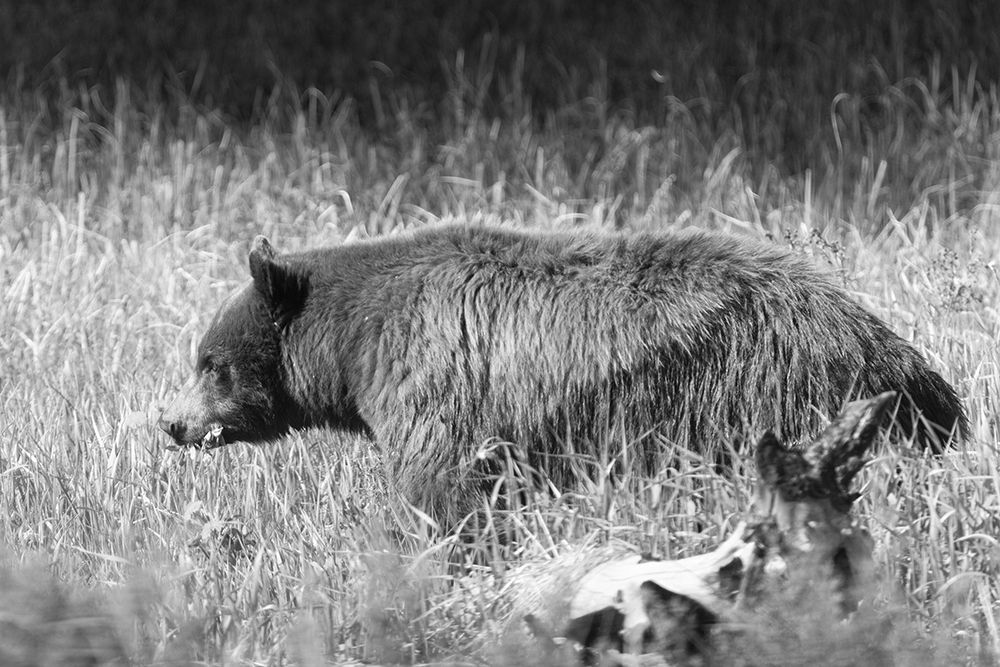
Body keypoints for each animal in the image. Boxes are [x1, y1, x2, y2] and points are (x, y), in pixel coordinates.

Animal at [159, 224, 967, 524]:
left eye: (209, 363)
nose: (171, 422)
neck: (357, 346)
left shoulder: (435, 385)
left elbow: (441, 486)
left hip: (758, 391)